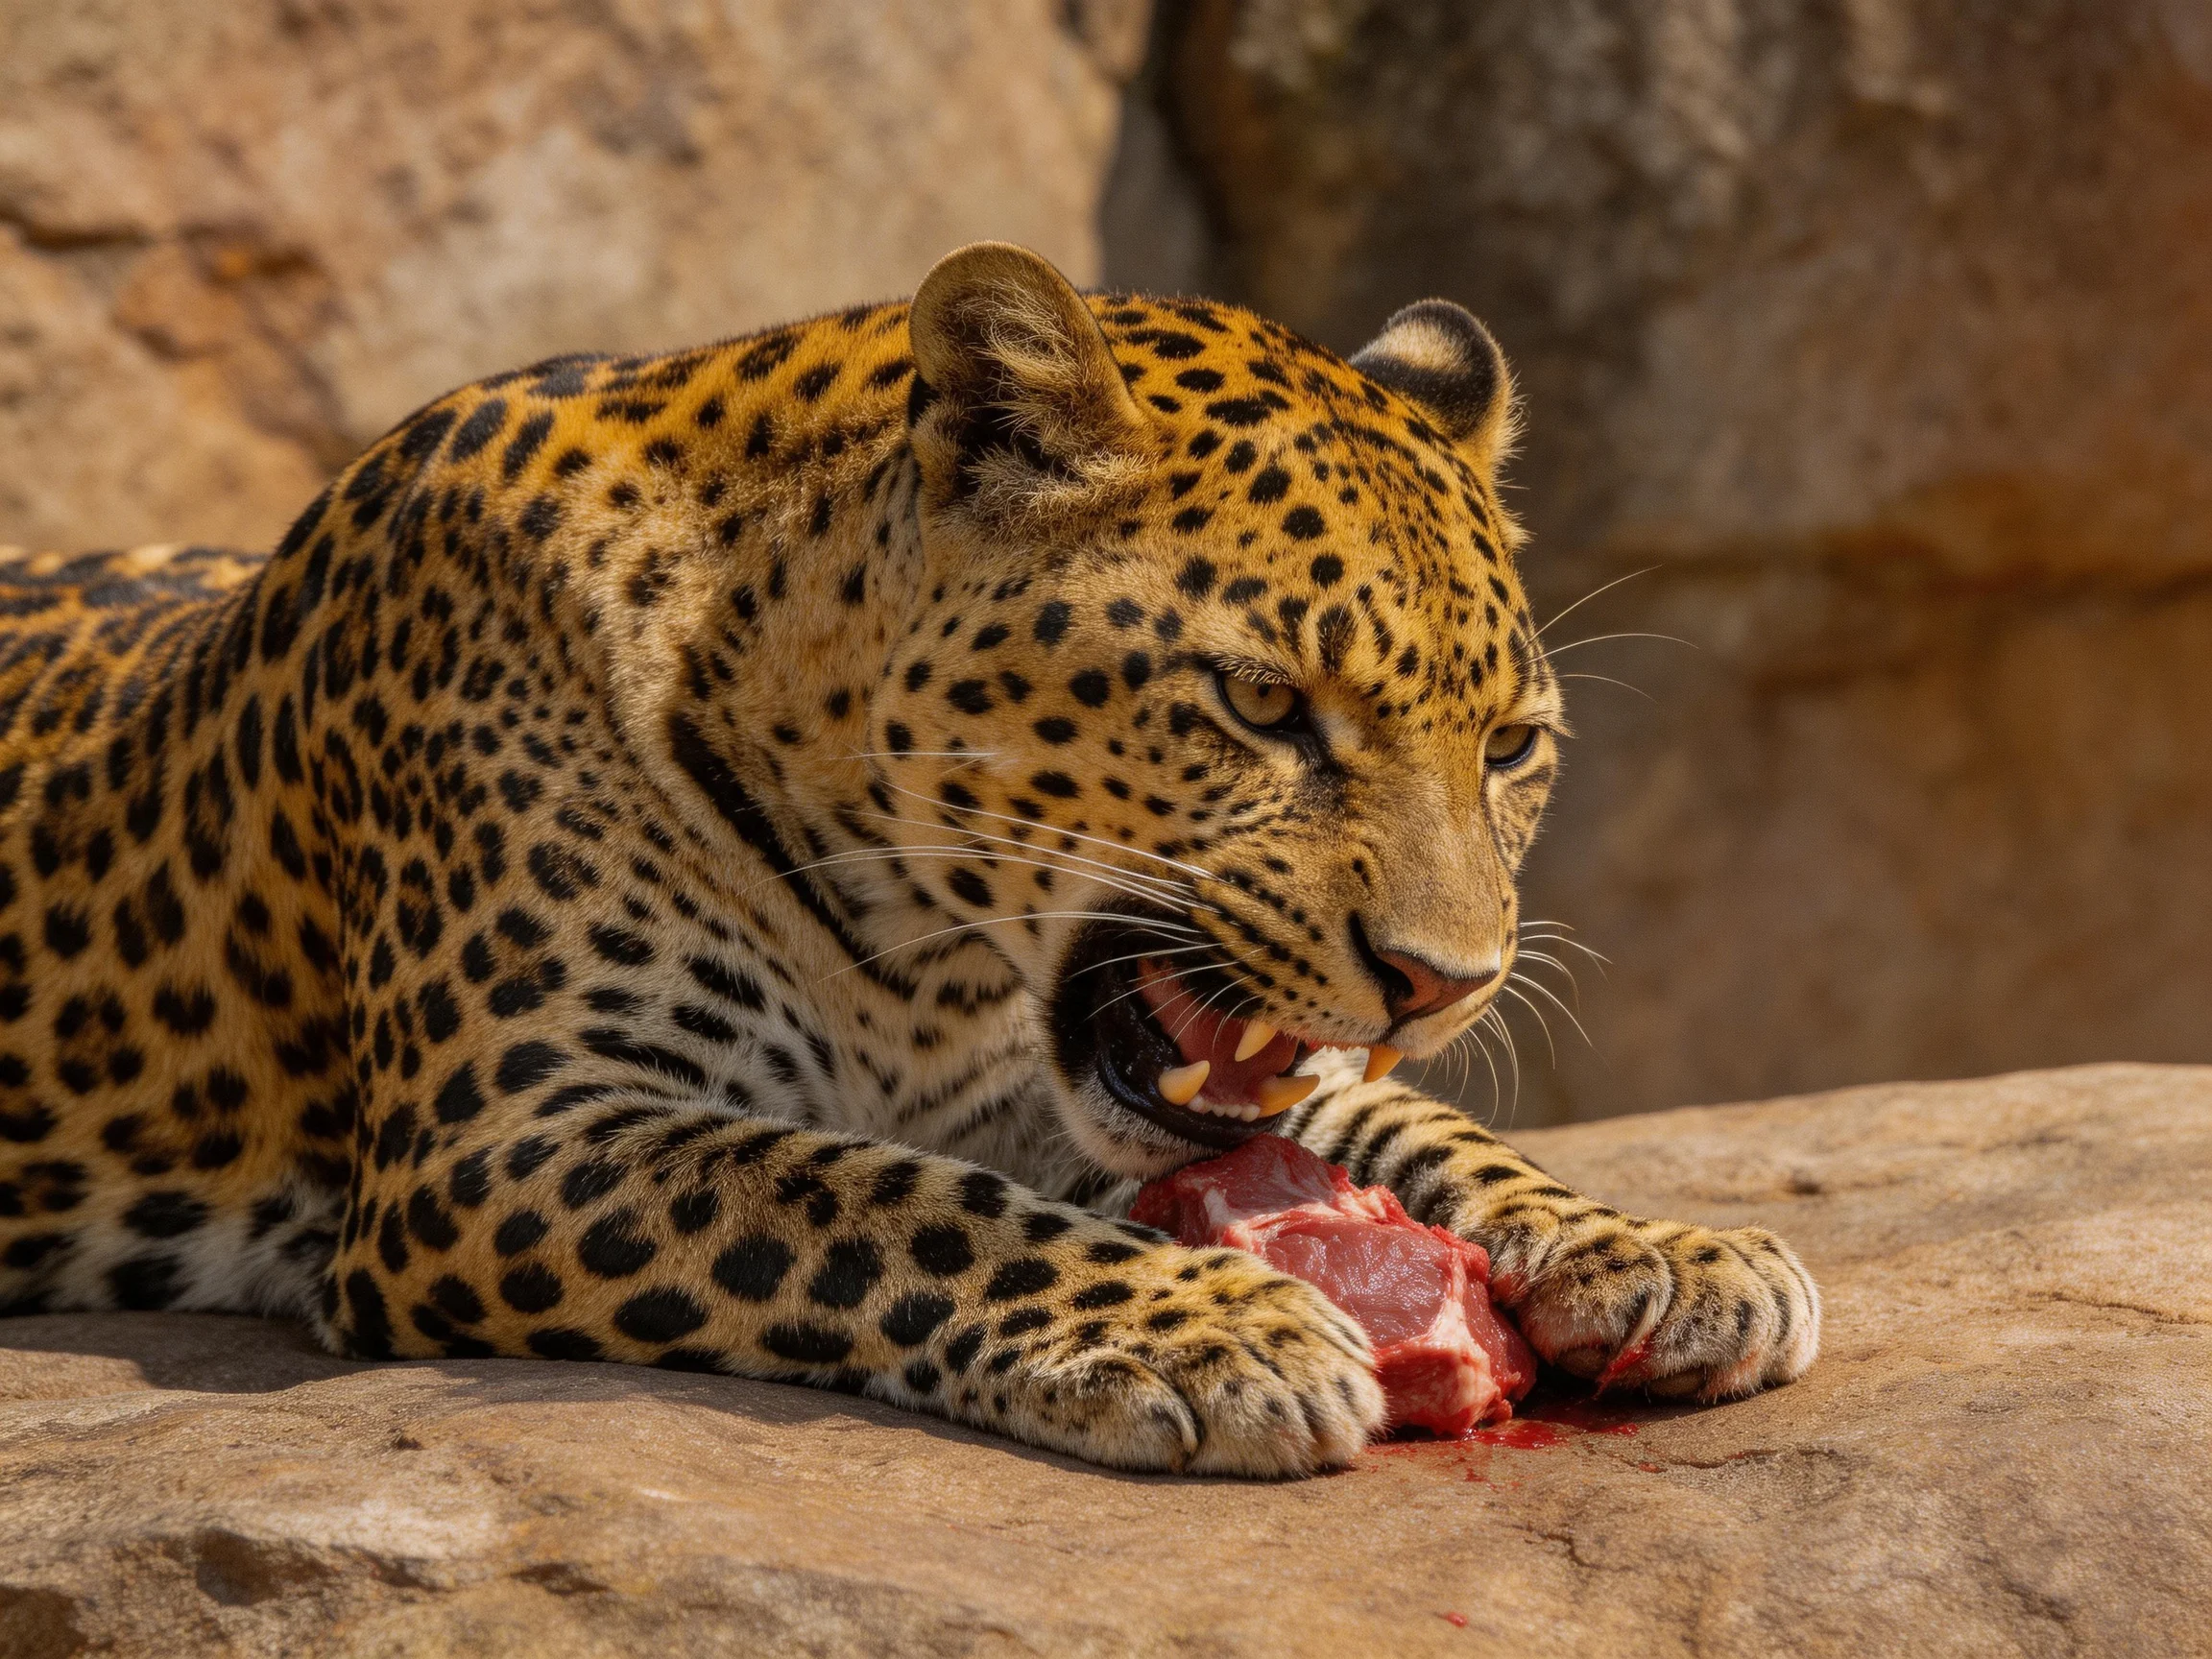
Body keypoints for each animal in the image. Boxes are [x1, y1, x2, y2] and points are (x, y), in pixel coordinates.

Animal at [0, 243, 1818, 1476]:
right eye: (1259, 703)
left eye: (1508, 746)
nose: (1445, 981)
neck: (929, 960)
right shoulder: (504, 1136)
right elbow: (869, 1193)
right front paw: (1209, 1328)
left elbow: (1405, 1124)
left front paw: (1655, 1248)